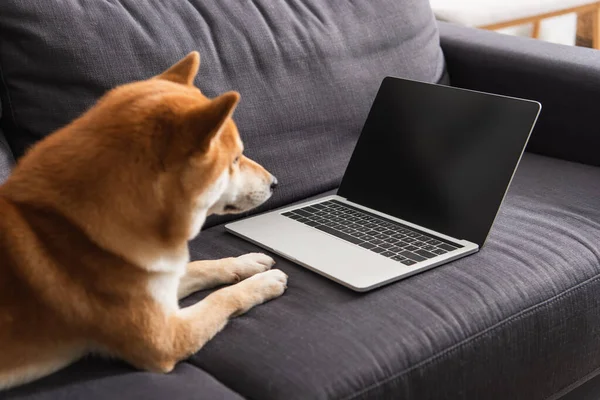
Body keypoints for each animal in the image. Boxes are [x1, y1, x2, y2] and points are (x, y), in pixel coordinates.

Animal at [0, 51, 288, 390]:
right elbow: (222, 297)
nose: (275, 183)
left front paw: (246, 263)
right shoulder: (166, 338)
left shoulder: (160, 281)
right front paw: (263, 282)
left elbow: (201, 266)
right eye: (235, 159)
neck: (76, 229)